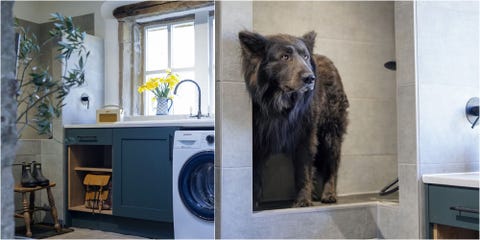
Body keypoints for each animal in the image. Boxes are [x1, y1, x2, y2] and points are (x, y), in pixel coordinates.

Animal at [238, 30, 346, 208]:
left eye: (306, 57)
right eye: (285, 57)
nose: (310, 78)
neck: (281, 102)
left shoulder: (305, 137)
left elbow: (303, 171)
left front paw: (303, 201)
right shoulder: (257, 142)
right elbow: (255, 174)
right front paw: (252, 204)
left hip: (330, 134)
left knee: (332, 165)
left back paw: (329, 194)